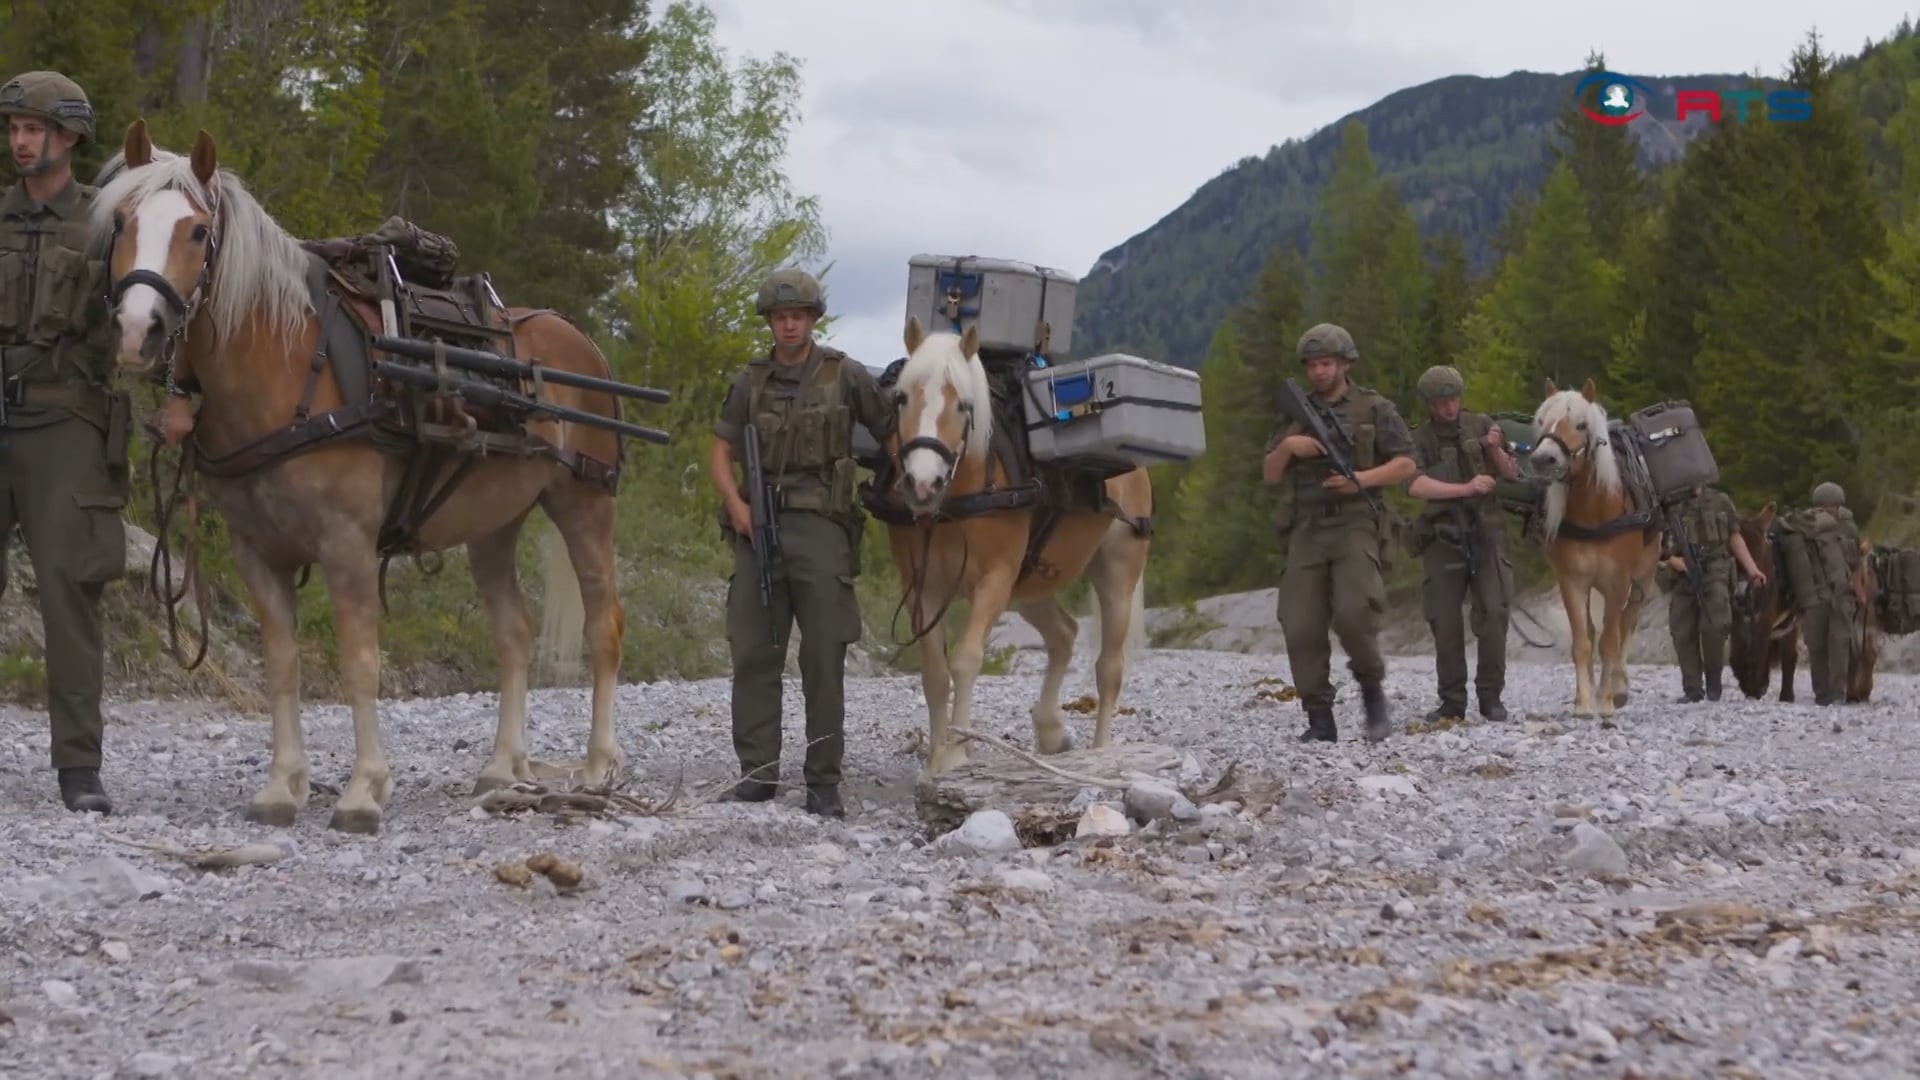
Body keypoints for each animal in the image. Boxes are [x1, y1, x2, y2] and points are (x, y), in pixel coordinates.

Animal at [95, 125, 622, 834]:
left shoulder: (347, 545)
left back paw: (597, 767)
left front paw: (363, 790)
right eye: (121, 222)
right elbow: (284, 665)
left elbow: (359, 661)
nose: (136, 330)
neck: (287, 369)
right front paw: (282, 786)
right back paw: (501, 766)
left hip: (584, 503)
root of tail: (581, 343)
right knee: (514, 633)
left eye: (198, 233)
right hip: (493, 522)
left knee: (604, 626)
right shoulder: (256, 553)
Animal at [887, 315, 1152, 776]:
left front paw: (957, 752)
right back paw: (1049, 728)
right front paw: (936, 758)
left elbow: (966, 660)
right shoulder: (922, 585)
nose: (922, 484)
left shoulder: (994, 580)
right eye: (901, 397)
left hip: (1116, 573)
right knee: (1063, 635)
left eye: (963, 405)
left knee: (1109, 667)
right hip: (1030, 585)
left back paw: (1101, 752)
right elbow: (935, 672)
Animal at [1520, 378, 1658, 714]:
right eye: (1541, 421)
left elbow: (1611, 640)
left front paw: (1606, 701)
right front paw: (1584, 702)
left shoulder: (1618, 582)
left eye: (1581, 424)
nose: (1543, 459)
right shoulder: (1572, 581)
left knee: (1627, 624)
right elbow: (1583, 642)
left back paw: (1618, 687)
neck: (1594, 513)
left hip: (1643, 578)